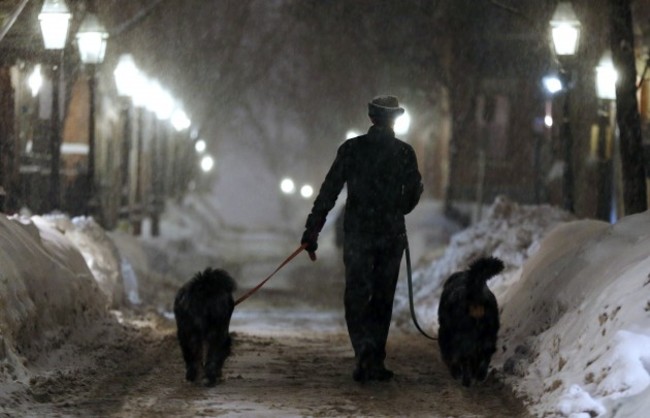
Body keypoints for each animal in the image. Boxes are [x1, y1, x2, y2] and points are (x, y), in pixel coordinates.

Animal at [436, 256, 502, 386]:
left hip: (461, 339)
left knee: (464, 359)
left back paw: (465, 379)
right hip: (489, 335)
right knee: (484, 355)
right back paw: (480, 375)